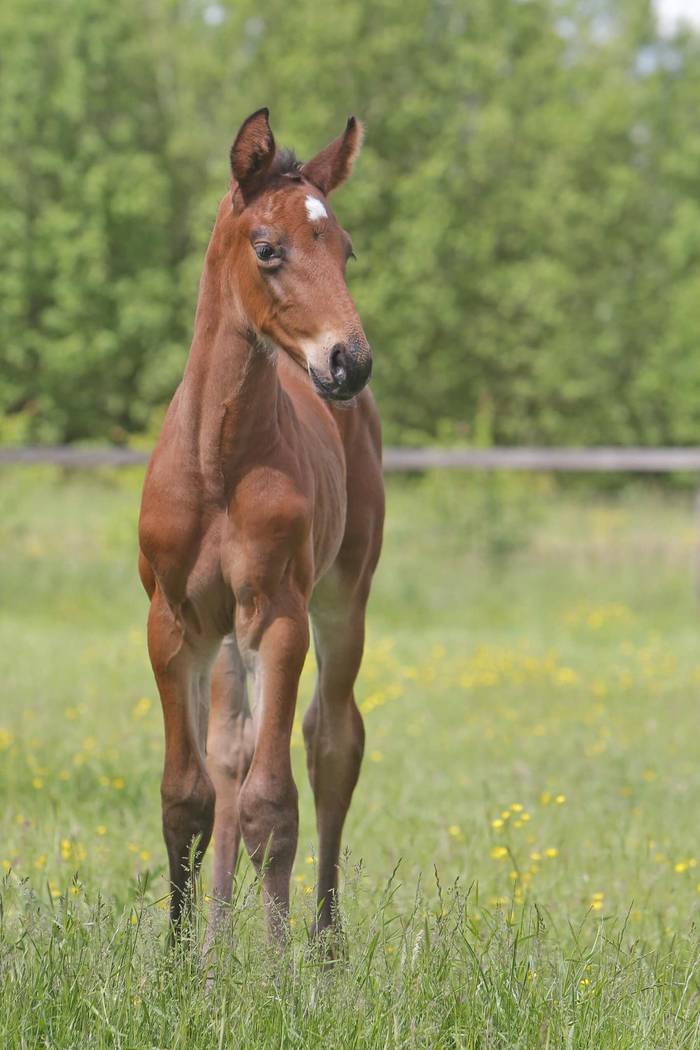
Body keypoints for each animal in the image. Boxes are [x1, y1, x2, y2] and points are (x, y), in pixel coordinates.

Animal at [137, 108, 384, 947]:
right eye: (268, 248)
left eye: (344, 250)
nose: (349, 363)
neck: (217, 464)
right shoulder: (175, 623)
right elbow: (188, 795)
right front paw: (184, 957)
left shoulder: (278, 616)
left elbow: (274, 805)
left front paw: (275, 968)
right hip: (223, 638)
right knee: (230, 758)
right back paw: (219, 940)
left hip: (342, 597)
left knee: (333, 743)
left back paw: (325, 944)